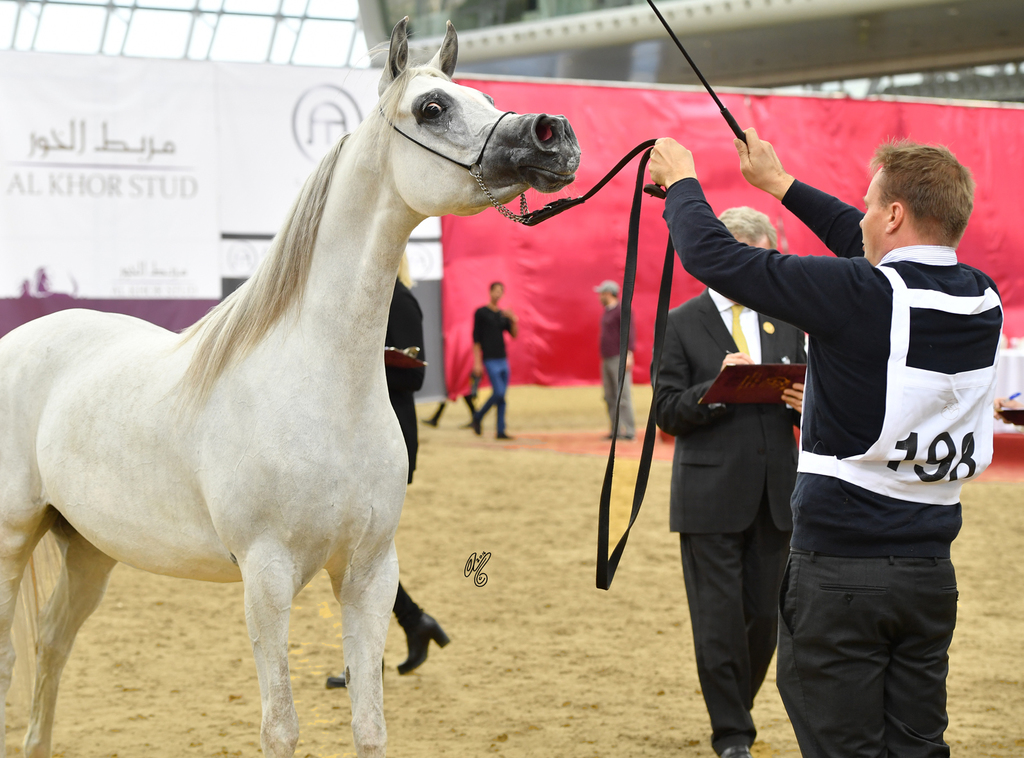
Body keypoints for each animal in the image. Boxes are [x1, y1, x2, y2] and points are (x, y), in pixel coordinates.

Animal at [0, 19, 579, 758]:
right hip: (13, 536)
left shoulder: (369, 574)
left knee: (51, 643)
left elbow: (370, 723)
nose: (553, 133)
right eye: (432, 107)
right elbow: (281, 727)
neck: (323, 387)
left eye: (485, 96)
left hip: (89, 548)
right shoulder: (267, 577)